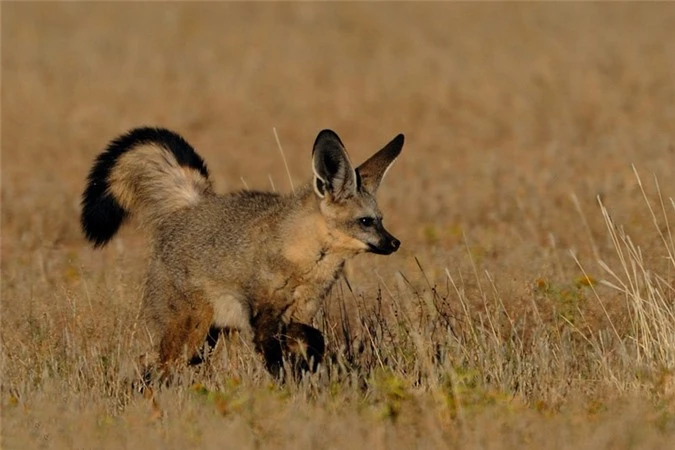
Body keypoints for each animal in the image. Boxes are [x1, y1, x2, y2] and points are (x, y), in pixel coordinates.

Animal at [81, 126, 404, 384]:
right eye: (366, 221)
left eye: (381, 220)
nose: (395, 243)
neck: (305, 263)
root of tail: (189, 206)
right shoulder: (262, 320)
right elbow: (277, 364)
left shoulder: (297, 316)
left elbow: (315, 339)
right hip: (189, 338)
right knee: (149, 366)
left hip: (203, 341)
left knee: (148, 364)